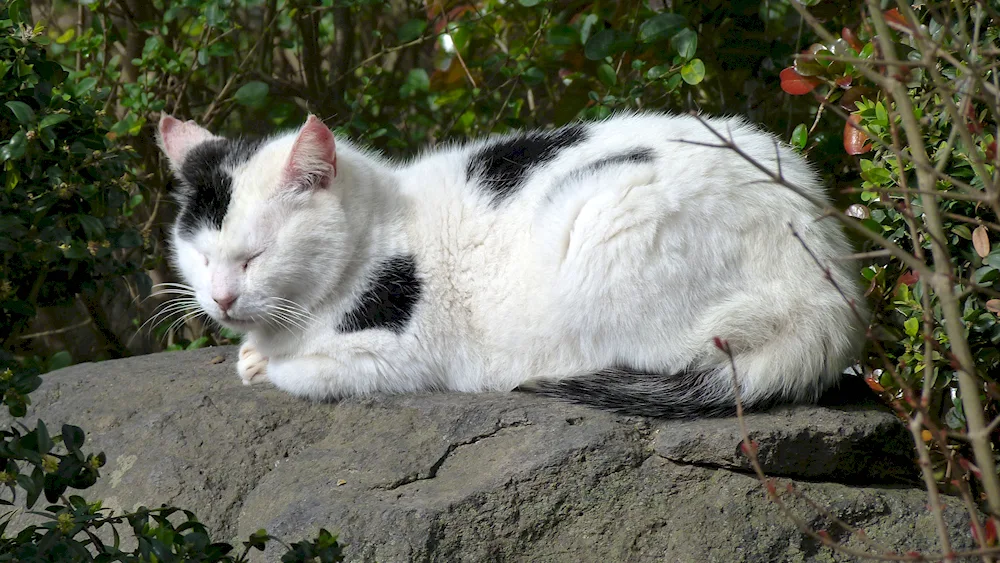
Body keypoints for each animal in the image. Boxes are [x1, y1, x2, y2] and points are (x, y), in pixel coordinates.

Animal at [158, 111, 868, 418]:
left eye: (255, 257)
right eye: (201, 255)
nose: (221, 298)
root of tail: (833, 295)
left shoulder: (392, 356)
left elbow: (296, 372)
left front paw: (262, 364)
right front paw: (251, 351)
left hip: (610, 236)